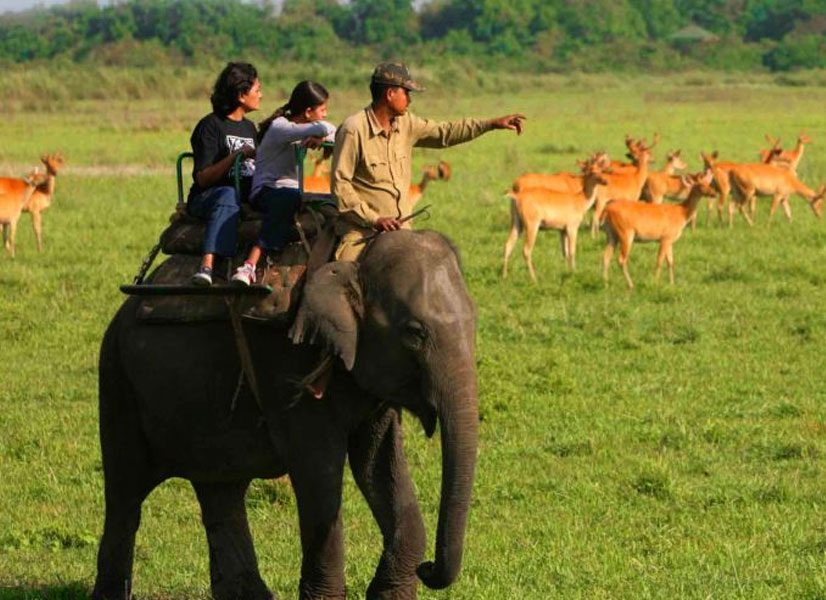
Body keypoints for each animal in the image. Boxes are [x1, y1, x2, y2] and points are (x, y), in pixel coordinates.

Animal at [91, 229, 480, 600]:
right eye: (415, 334)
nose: (428, 568)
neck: (355, 260)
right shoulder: (287, 366)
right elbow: (318, 471)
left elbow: (380, 468)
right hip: (118, 381)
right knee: (126, 493)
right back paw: (111, 594)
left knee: (221, 490)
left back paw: (250, 595)